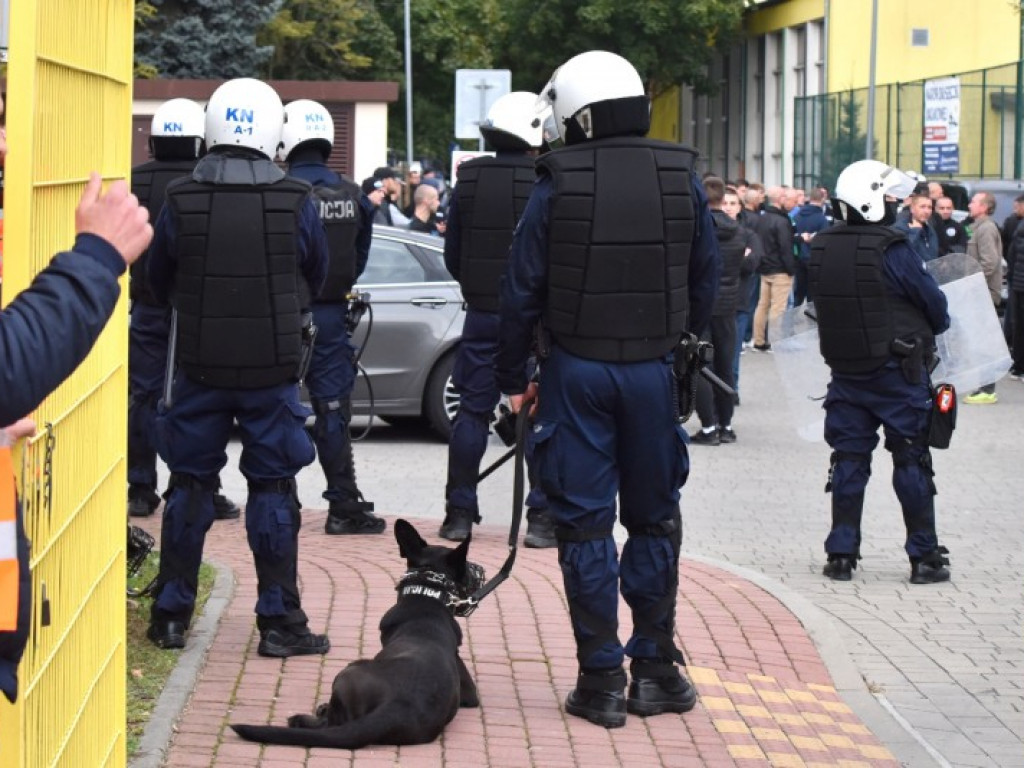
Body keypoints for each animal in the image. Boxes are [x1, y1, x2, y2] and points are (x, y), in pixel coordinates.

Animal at [230, 520, 481, 749]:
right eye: (466, 566)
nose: (478, 570)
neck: (426, 598)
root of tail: (398, 705)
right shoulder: (469, 693)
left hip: (349, 670)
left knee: (331, 724)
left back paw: (304, 718)